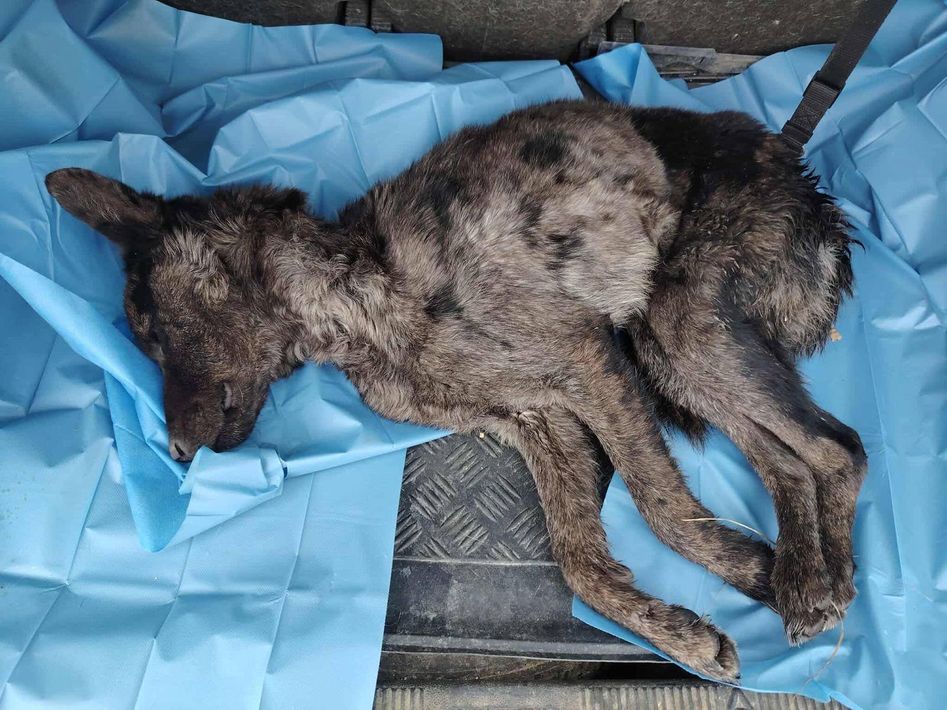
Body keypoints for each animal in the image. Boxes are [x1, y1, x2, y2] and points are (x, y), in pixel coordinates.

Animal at [46, 99, 866, 680]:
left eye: (153, 332)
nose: (177, 453)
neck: (361, 296)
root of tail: (806, 182)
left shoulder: (588, 367)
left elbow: (660, 506)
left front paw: (703, 609)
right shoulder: (538, 418)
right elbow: (579, 558)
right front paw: (691, 615)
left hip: (679, 320)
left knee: (838, 447)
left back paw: (821, 582)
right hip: (667, 351)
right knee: (788, 460)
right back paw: (794, 573)